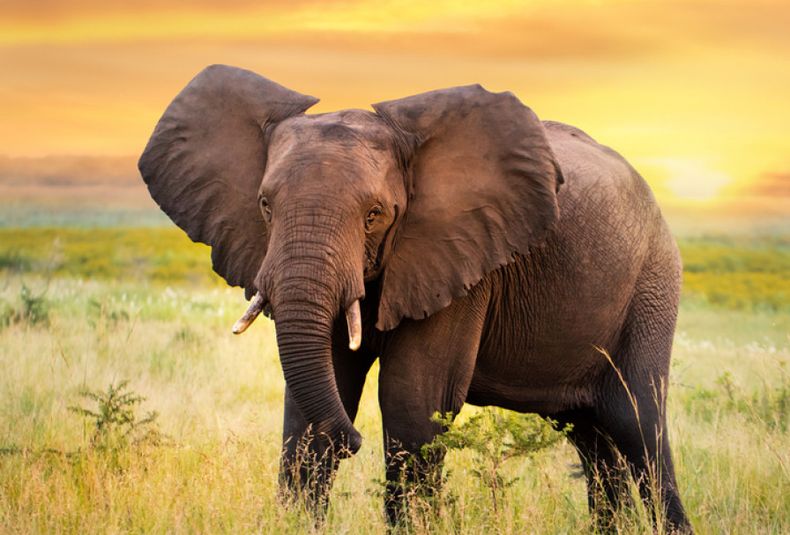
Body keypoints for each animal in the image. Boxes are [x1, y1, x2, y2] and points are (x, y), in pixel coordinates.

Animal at [139, 64, 692, 532]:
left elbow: (412, 399)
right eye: (265, 206)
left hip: (652, 283)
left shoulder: (463, 258)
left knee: (637, 421)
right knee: (590, 434)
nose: (353, 442)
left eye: (374, 214)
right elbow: (314, 395)